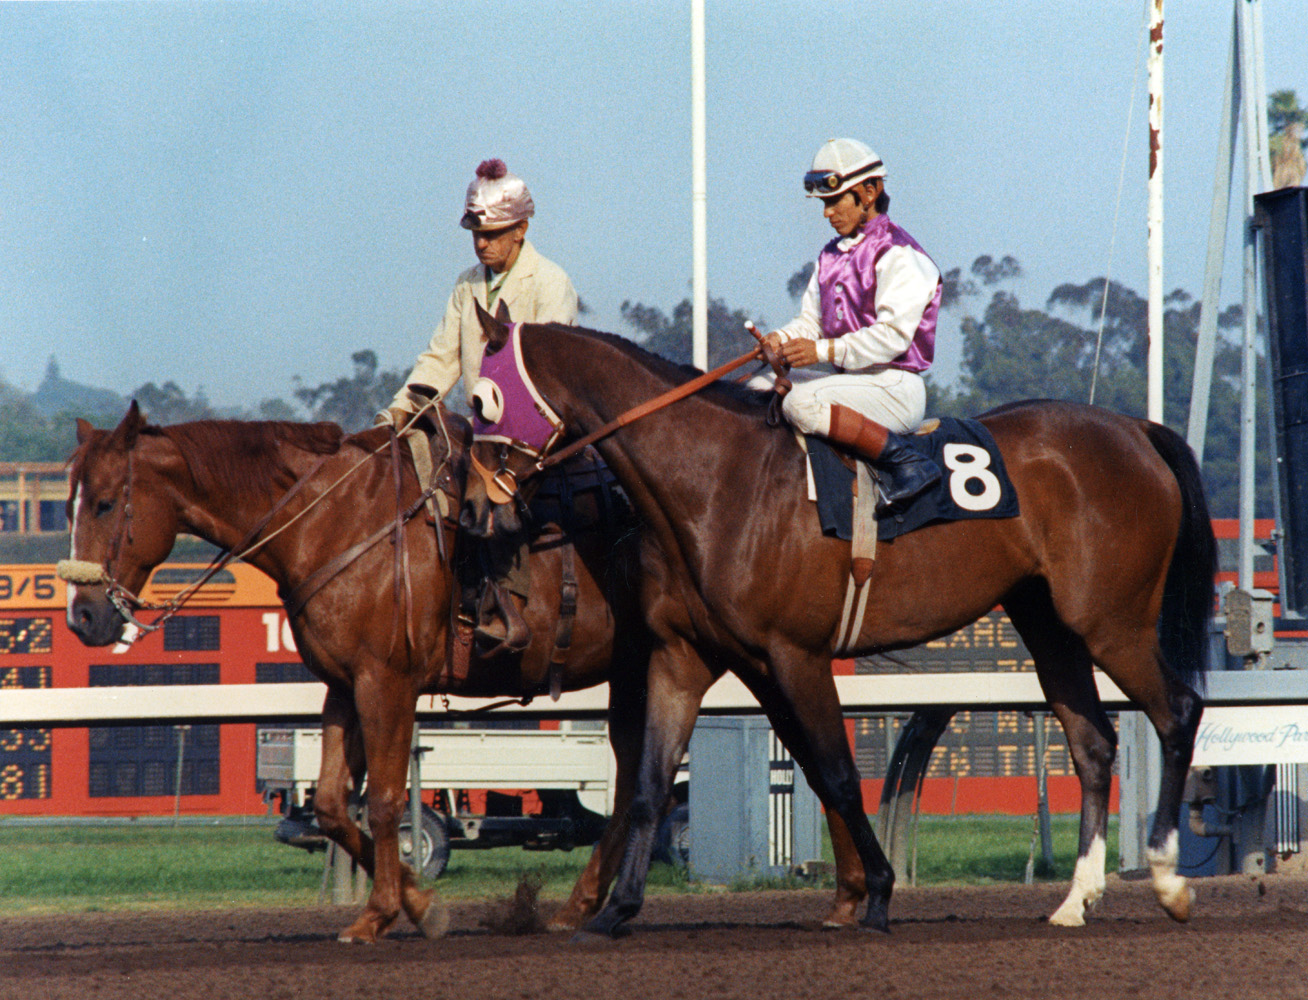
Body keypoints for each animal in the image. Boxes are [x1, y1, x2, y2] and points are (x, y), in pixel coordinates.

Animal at [63, 402, 651, 941]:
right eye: (68, 506)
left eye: (106, 503)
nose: (82, 617)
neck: (333, 520)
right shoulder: (344, 687)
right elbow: (330, 805)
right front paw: (422, 904)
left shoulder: (386, 684)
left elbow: (387, 802)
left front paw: (380, 913)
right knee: (633, 787)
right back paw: (581, 906)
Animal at [468, 313, 1213, 935]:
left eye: (482, 402)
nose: (475, 507)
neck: (715, 482)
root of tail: (1133, 429)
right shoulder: (683, 656)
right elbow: (650, 784)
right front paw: (615, 910)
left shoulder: (794, 653)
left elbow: (839, 774)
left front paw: (877, 894)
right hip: (1049, 624)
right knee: (1092, 744)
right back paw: (1075, 900)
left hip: (1112, 621)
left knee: (1177, 710)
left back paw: (1169, 880)